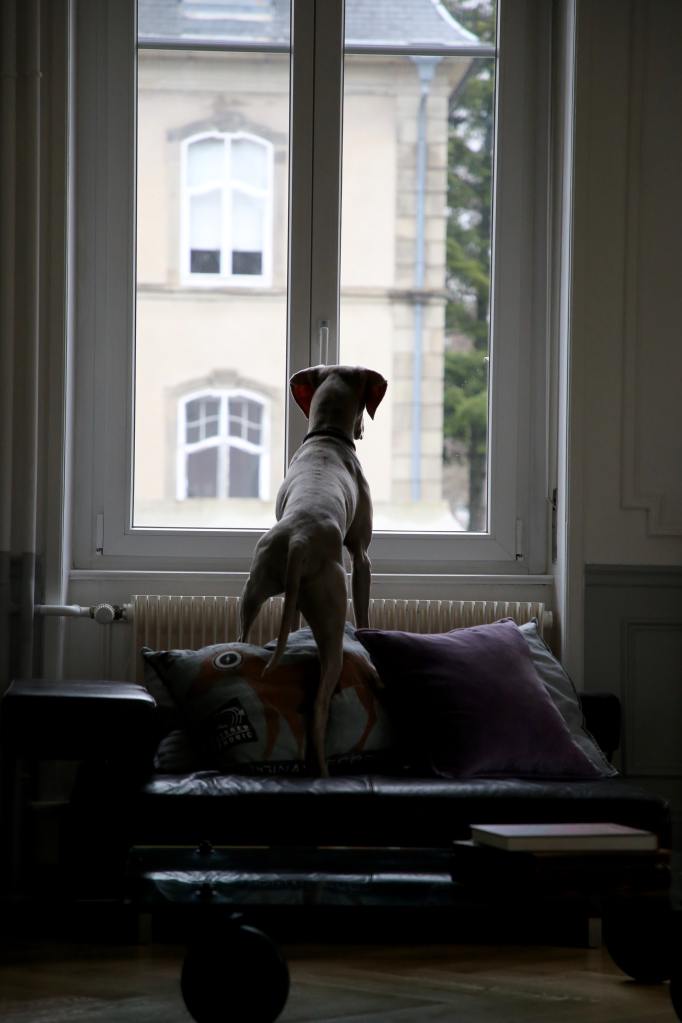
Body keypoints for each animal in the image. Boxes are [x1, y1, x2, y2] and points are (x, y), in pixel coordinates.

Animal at [239, 364, 387, 776]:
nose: (362, 432)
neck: (326, 439)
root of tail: (299, 543)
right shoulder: (361, 555)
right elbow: (364, 609)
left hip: (255, 588)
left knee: (244, 633)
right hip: (332, 615)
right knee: (321, 704)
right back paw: (322, 768)